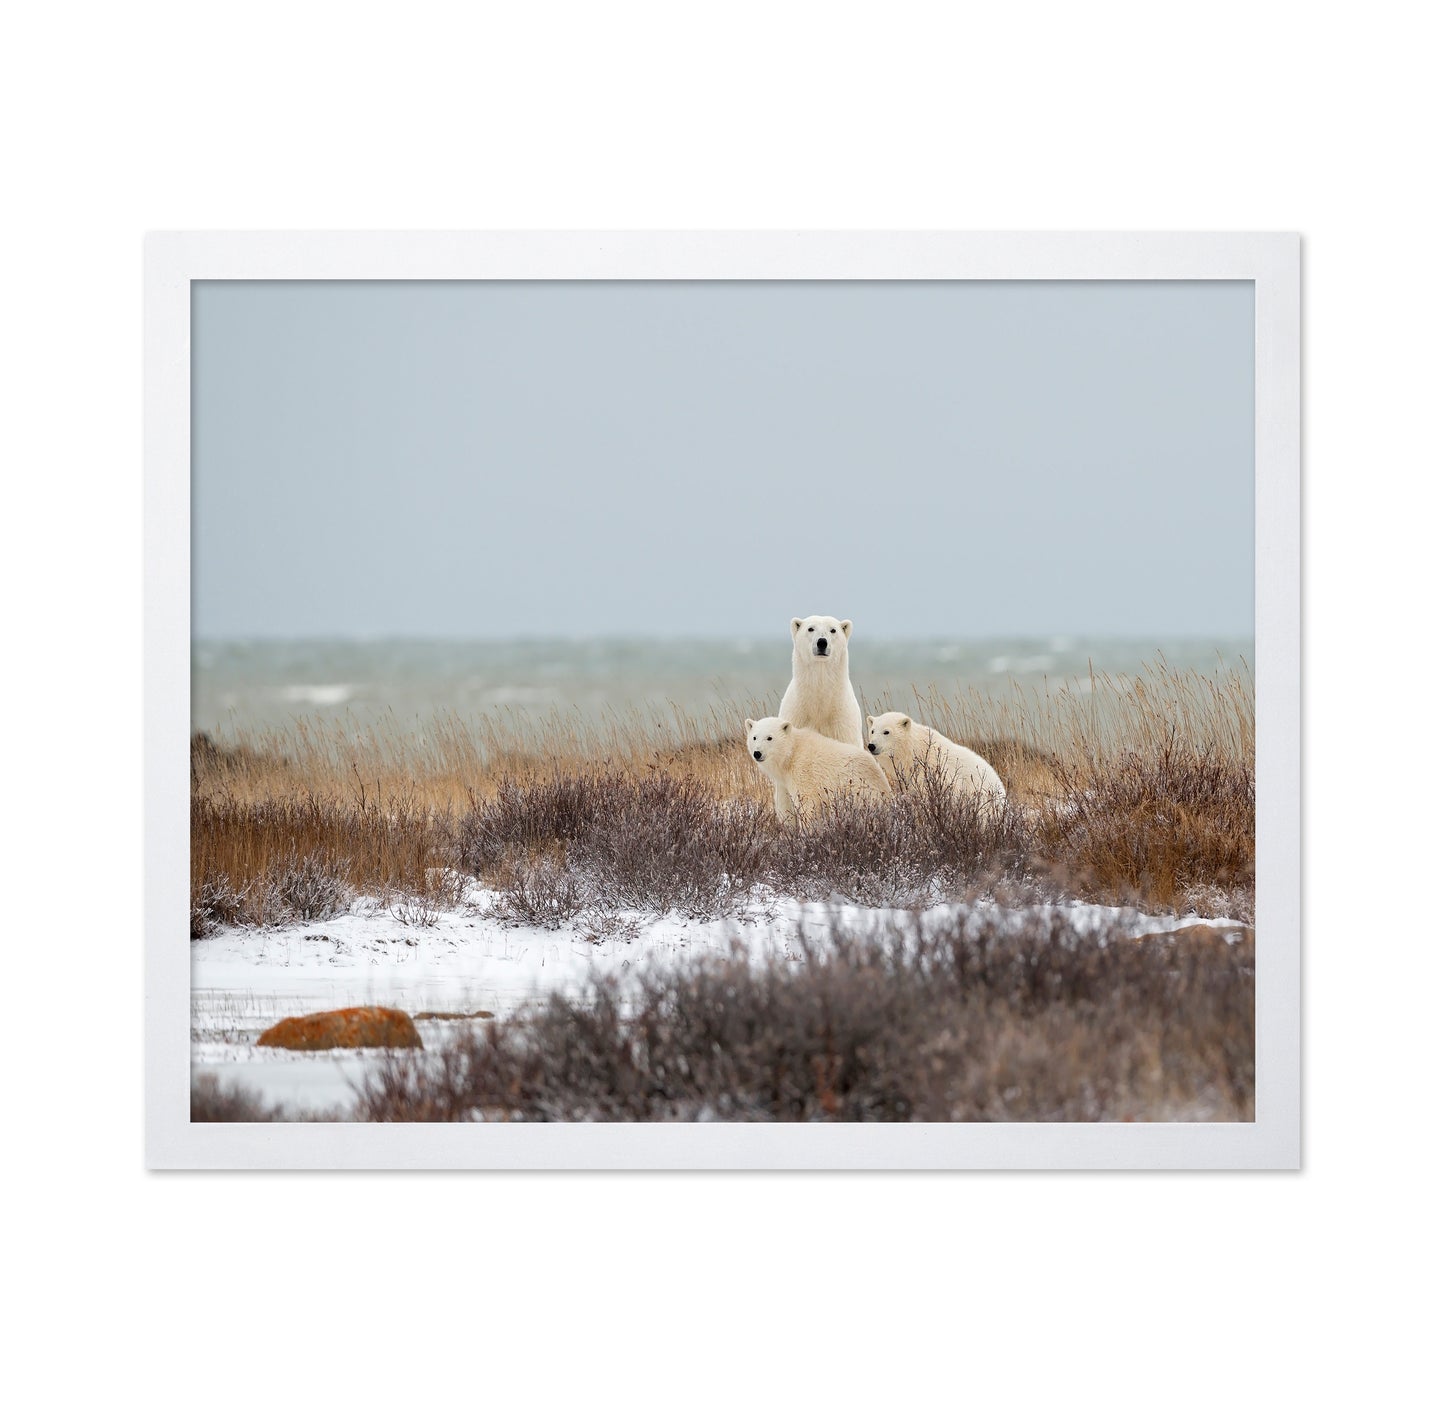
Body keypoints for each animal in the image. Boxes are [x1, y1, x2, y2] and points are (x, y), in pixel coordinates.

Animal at [746, 715, 892, 822]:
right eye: (754, 737)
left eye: (769, 738)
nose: (757, 753)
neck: (792, 753)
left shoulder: (804, 774)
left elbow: (808, 805)